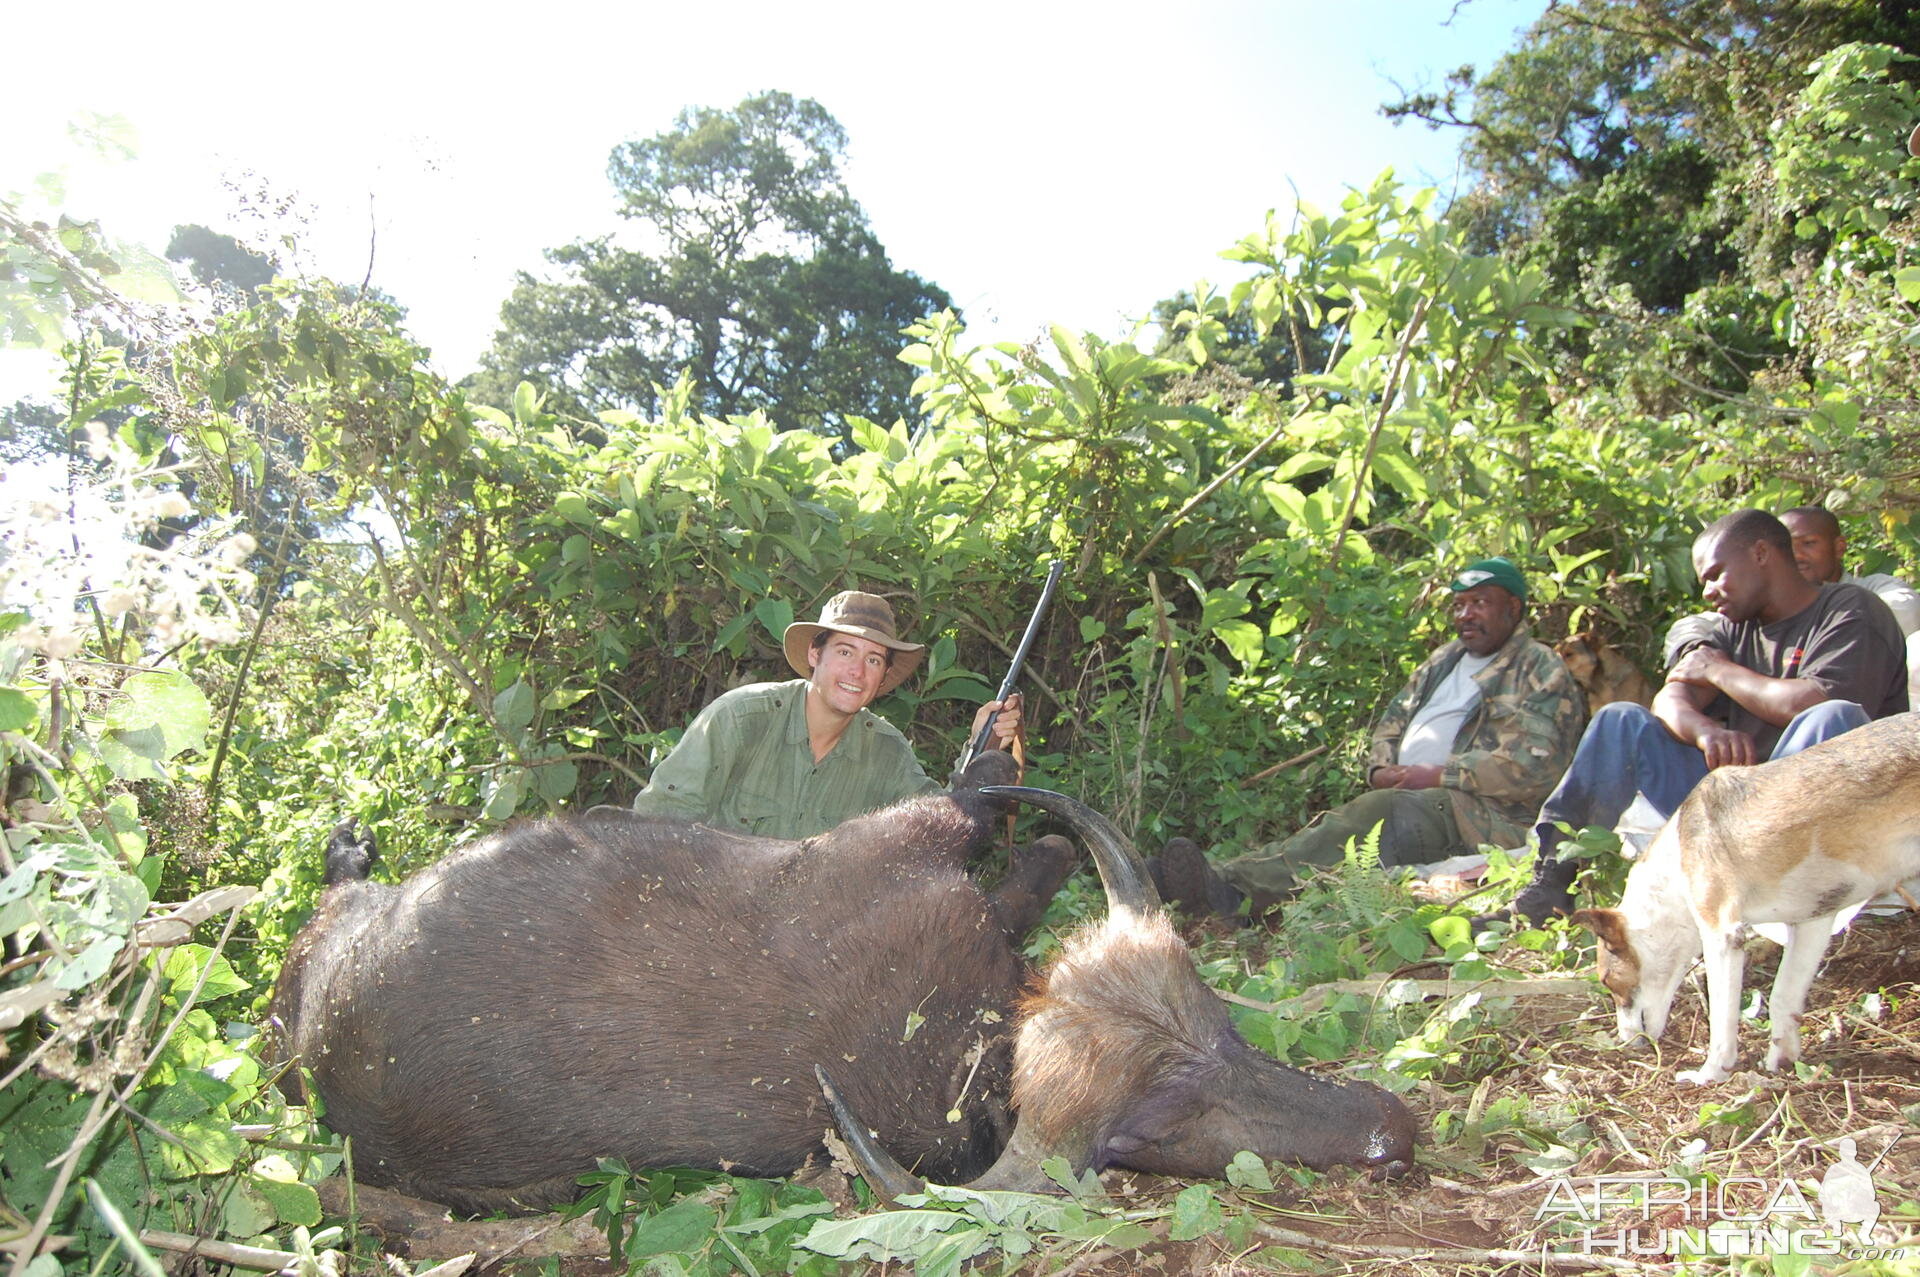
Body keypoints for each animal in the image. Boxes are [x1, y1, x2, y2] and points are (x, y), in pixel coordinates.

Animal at [266, 752, 1413, 1213]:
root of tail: (322, 1045)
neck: (973, 1026)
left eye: (1227, 1032)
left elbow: (1040, 853)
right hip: (313, 952)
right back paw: (344, 845)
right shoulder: (924, 838)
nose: (1392, 1129)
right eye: (1147, 1130)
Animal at [1574, 710, 1920, 1083]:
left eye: (1608, 981)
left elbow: (1721, 1024)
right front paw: (1782, 1062)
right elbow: (1783, 995)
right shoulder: (1813, 923)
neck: (1675, 864)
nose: (1624, 1045)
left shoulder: (1722, 935)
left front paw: (1710, 1075)